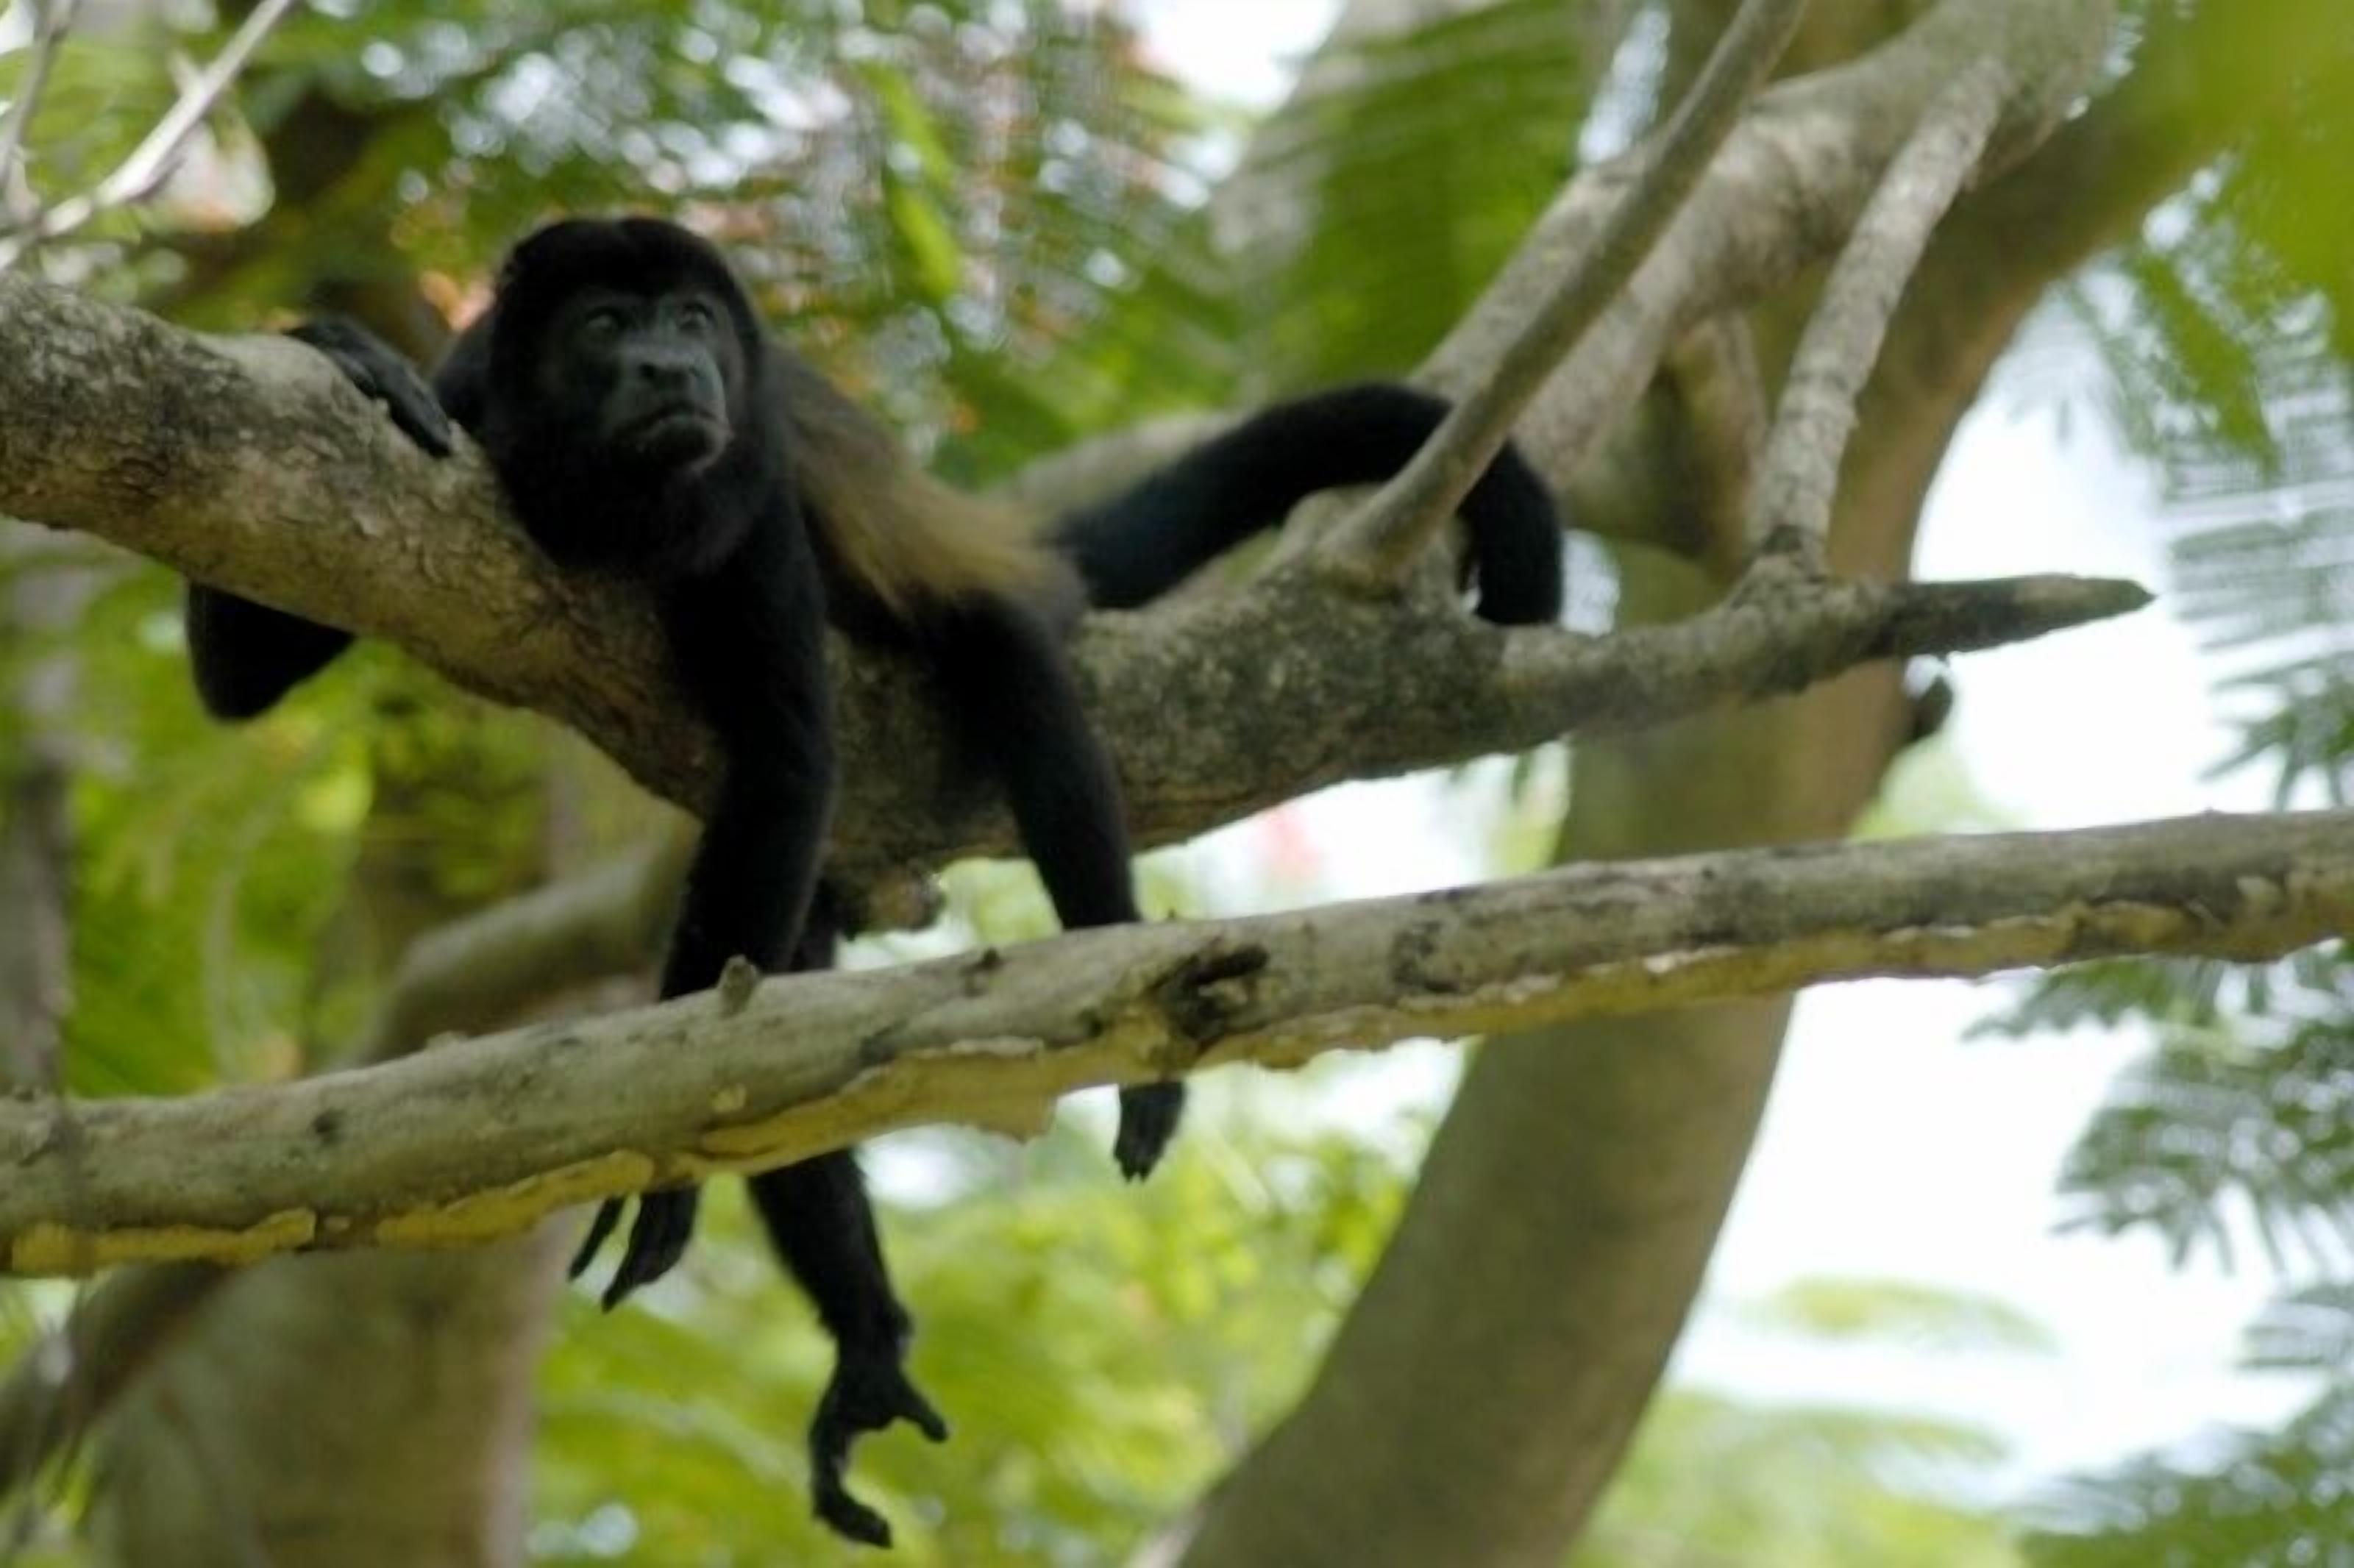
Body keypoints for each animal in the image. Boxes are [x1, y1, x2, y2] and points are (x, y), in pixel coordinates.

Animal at [185, 216, 1563, 1544]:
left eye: (691, 321)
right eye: (607, 326)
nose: (672, 369)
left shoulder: (748, 488)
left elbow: (793, 753)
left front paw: (664, 1163)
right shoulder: (469, 398)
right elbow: (241, 674)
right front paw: (352, 352)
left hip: (981, 630)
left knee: (1019, 689)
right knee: (789, 1020)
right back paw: (866, 1339)